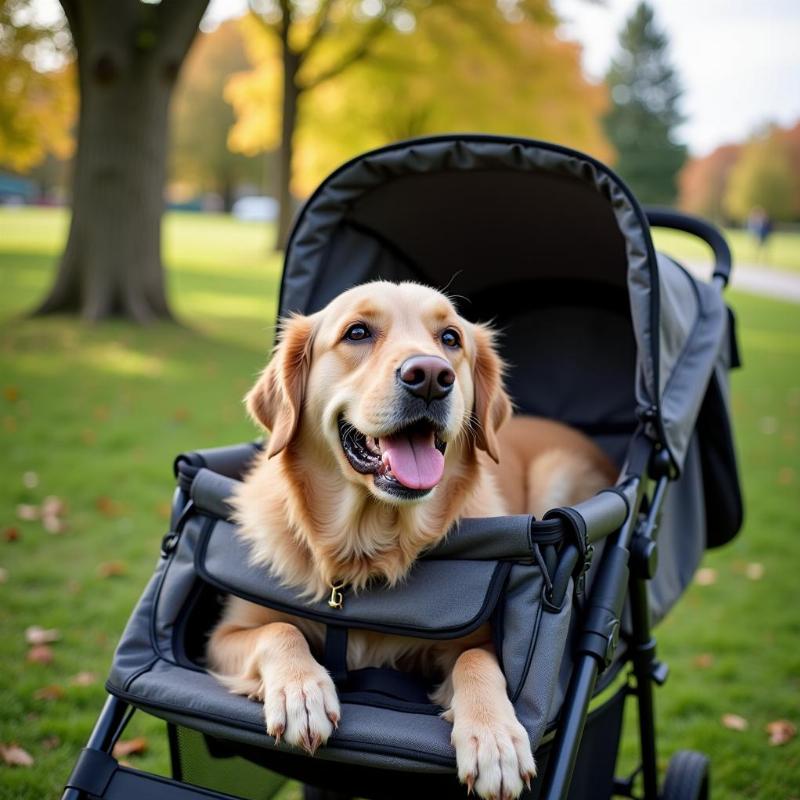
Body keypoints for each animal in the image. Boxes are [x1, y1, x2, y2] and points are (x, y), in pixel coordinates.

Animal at [209, 282, 616, 800]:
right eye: (357, 332)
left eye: (450, 338)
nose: (430, 377)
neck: (366, 543)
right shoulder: (223, 637)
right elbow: (279, 630)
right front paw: (302, 692)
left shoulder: (473, 645)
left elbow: (477, 661)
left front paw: (495, 739)